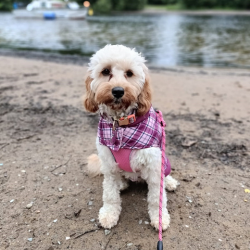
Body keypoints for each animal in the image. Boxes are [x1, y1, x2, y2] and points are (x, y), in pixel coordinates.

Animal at [83, 45, 178, 230]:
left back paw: (169, 182)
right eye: (106, 71)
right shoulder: (109, 164)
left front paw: (159, 218)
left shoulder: (154, 165)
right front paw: (109, 214)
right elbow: (110, 195)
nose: (118, 91)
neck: (121, 125)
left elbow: (156, 198)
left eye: (129, 73)